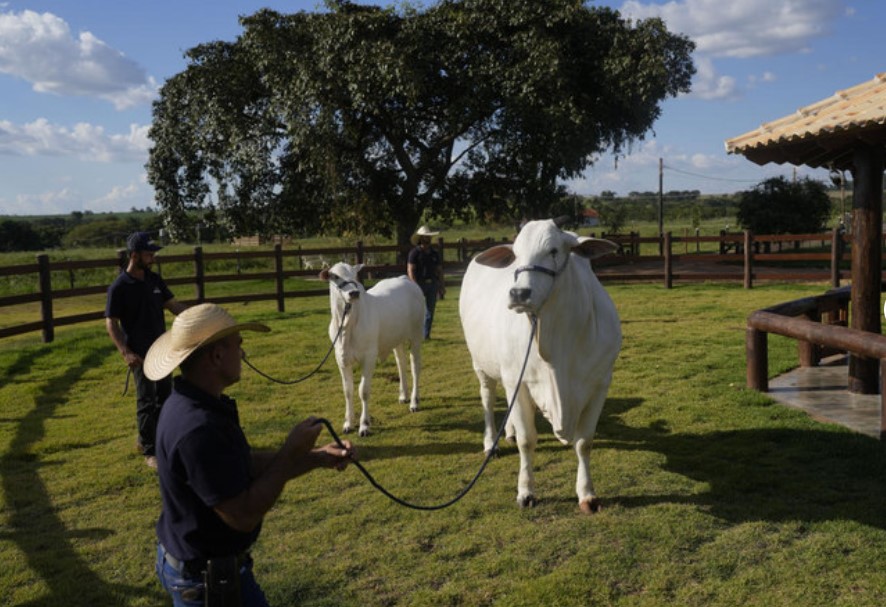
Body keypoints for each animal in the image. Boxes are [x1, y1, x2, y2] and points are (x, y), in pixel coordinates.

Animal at [322, 262, 426, 436]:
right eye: (335, 276)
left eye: (355, 275)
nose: (354, 293)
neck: (347, 326)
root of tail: (405, 279)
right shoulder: (341, 358)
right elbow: (348, 391)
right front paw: (348, 423)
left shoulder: (369, 357)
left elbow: (363, 391)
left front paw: (364, 425)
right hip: (396, 338)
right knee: (401, 363)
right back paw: (403, 395)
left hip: (416, 334)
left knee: (415, 366)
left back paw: (414, 402)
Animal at [462, 218, 620, 512]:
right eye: (515, 255)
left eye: (554, 250)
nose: (519, 293)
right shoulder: (519, 380)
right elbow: (528, 441)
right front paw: (526, 492)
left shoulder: (600, 384)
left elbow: (584, 442)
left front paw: (587, 494)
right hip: (482, 365)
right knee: (487, 400)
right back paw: (491, 443)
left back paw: (508, 432)